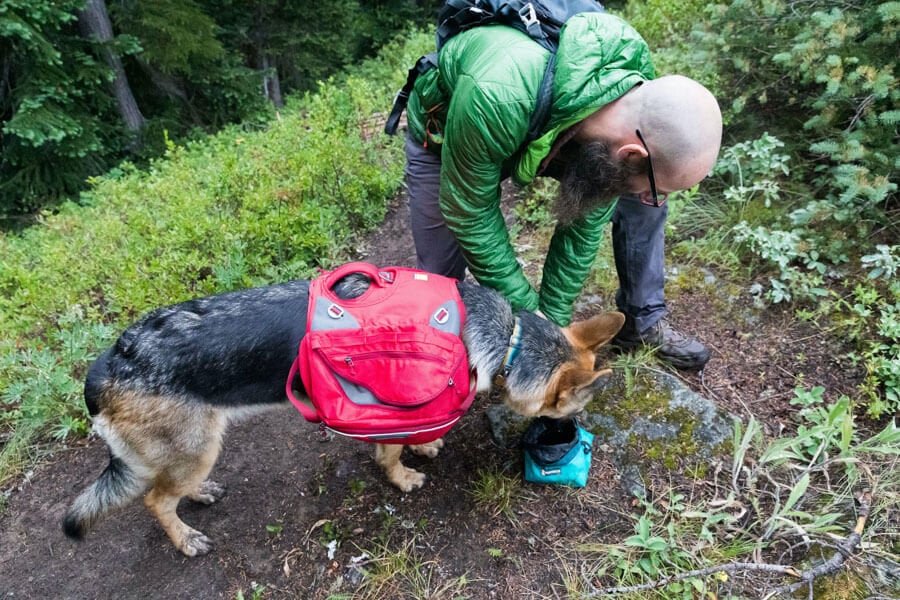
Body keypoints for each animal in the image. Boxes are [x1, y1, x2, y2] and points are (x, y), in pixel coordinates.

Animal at [63, 270, 624, 556]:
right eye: (573, 408)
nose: (569, 437)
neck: (507, 340)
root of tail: (109, 362)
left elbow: (416, 436)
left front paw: (423, 446)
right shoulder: (390, 412)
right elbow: (390, 455)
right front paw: (402, 477)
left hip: (194, 450)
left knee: (169, 488)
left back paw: (198, 496)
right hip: (195, 449)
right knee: (155, 499)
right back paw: (185, 539)